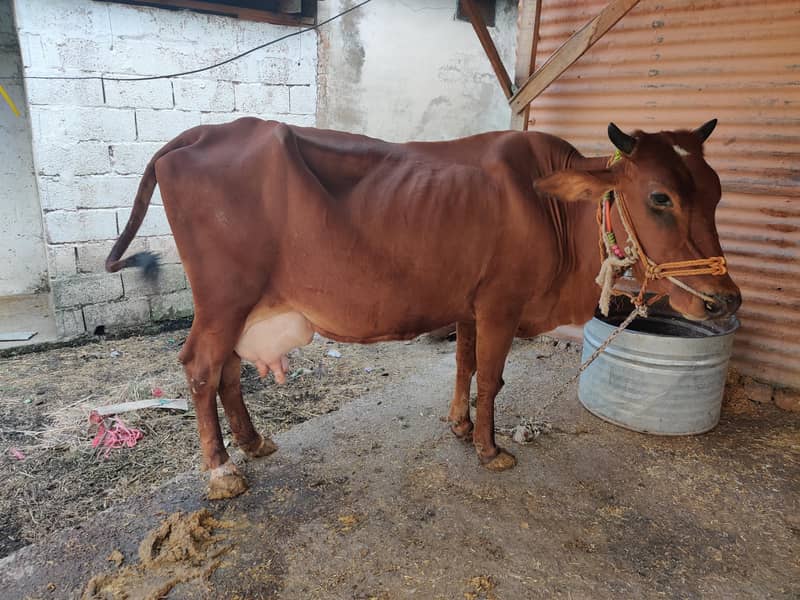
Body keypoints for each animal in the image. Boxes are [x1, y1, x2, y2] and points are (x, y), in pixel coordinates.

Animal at [105, 118, 740, 499]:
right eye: (659, 197)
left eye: (716, 191)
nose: (725, 299)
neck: (557, 214)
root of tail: (200, 132)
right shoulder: (501, 303)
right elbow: (492, 377)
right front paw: (490, 449)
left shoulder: (469, 304)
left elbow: (464, 366)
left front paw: (460, 427)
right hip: (224, 297)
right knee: (200, 367)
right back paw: (221, 470)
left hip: (244, 303)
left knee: (230, 371)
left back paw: (254, 442)